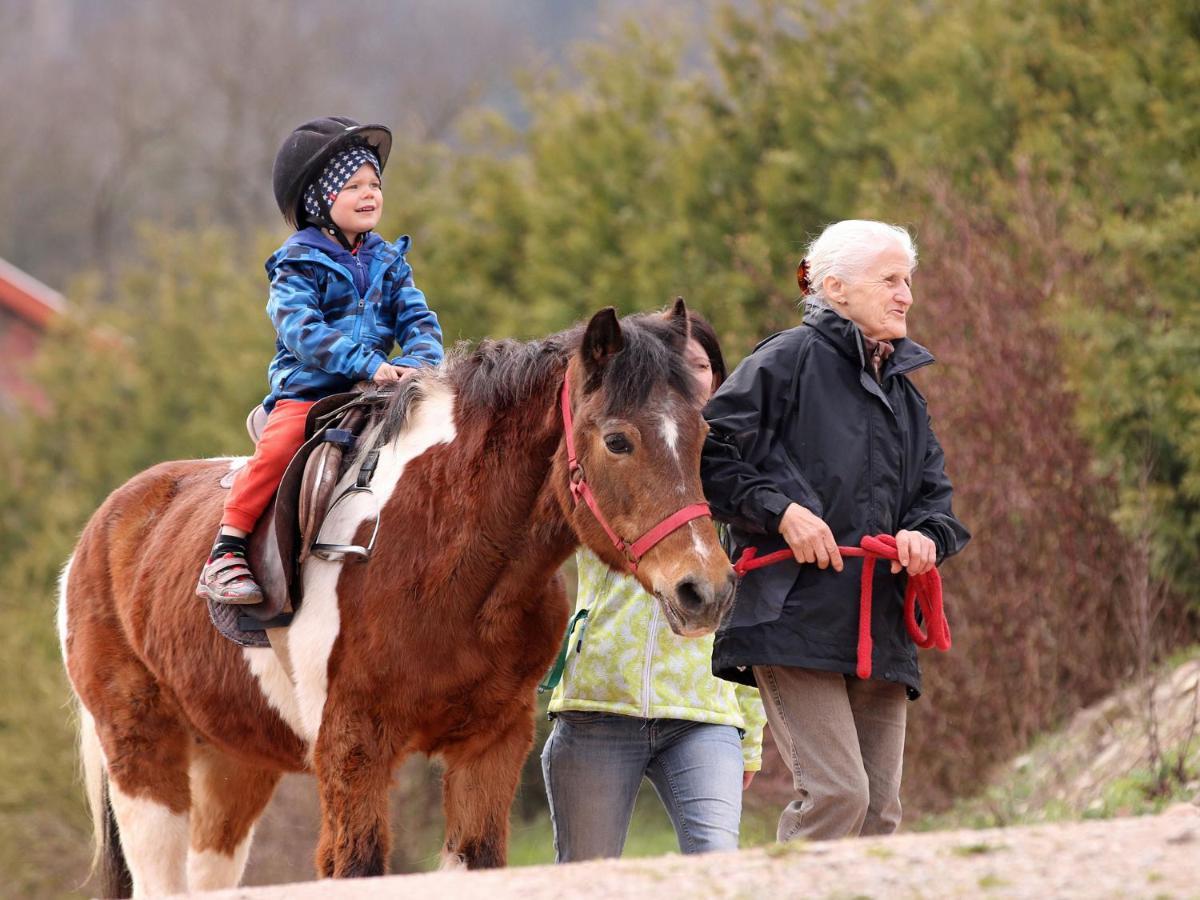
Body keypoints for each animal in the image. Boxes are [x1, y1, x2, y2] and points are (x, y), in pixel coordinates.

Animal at [60, 301, 734, 897]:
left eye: (705, 431)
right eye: (618, 441)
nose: (705, 589)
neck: (444, 559)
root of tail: (104, 528)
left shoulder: (490, 746)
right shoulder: (351, 748)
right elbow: (356, 866)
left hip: (233, 765)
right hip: (143, 756)